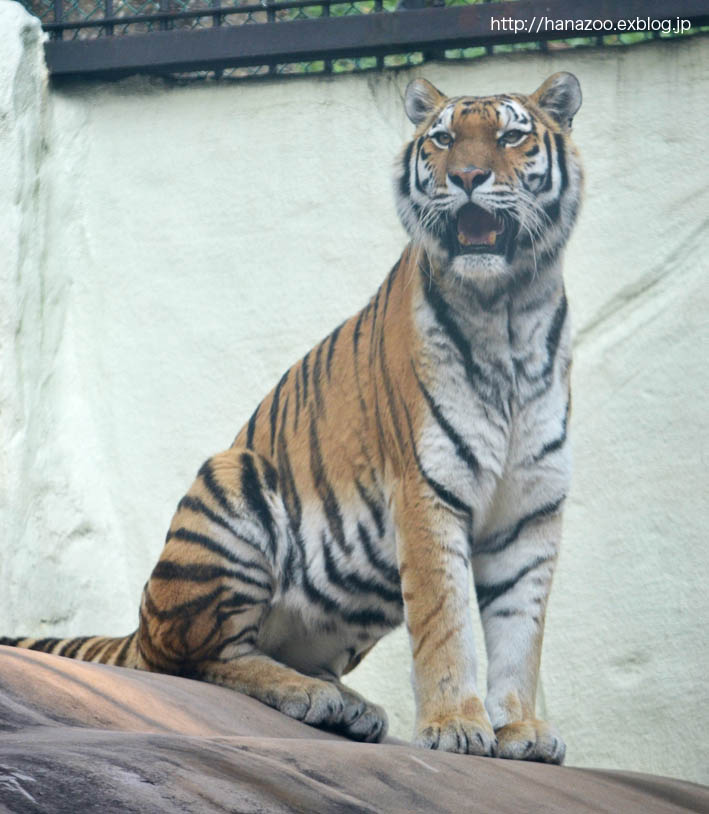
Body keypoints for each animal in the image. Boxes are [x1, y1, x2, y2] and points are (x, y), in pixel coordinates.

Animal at [2, 71, 584, 764]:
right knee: (196, 659)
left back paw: (348, 703)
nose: (467, 176)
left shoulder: (531, 508)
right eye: (442, 140)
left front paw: (522, 729)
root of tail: (139, 626)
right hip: (231, 483)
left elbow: (522, 632)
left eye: (510, 136)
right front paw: (456, 726)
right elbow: (445, 623)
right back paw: (310, 694)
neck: (509, 312)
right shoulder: (426, 489)